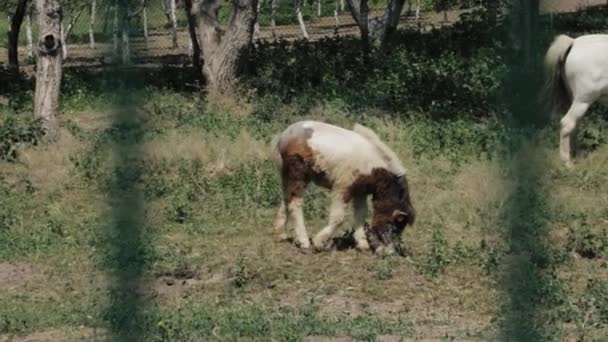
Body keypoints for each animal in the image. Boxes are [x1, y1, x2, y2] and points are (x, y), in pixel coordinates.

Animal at [270, 119, 414, 255]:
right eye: (395, 226)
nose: (389, 253)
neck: (372, 166)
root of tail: (283, 136)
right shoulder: (342, 188)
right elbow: (339, 217)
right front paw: (318, 242)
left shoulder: (360, 191)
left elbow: (361, 214)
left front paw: (363, 245)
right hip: (298, 174)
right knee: (295, 204)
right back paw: (304, 242)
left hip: (290, 176)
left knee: (287, 199)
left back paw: (280, 234)